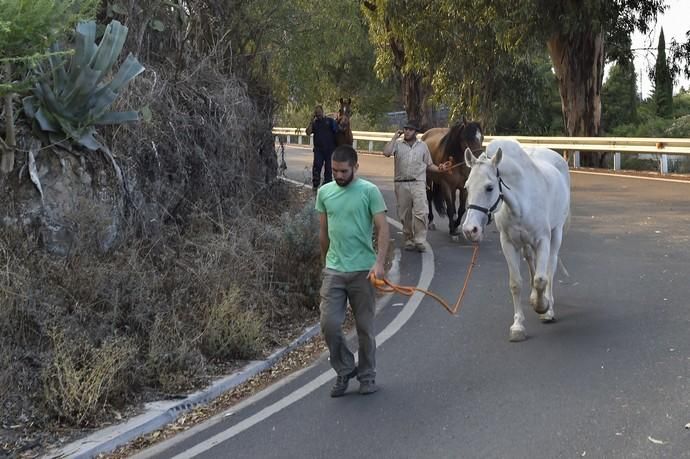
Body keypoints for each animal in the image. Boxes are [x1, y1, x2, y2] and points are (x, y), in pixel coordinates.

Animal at [460, 139, 568, 342]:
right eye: (467, 187)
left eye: (489, 187)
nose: (470, 230)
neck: (521, 203)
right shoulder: (508, 243)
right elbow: (516, 283)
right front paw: (518, 326)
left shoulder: (543, 240)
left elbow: (541, 279)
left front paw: (543, 307)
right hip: (525, 244)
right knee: (531, 260)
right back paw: (534, 297)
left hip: (556, 233)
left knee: (550, 267)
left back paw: (547, 305)